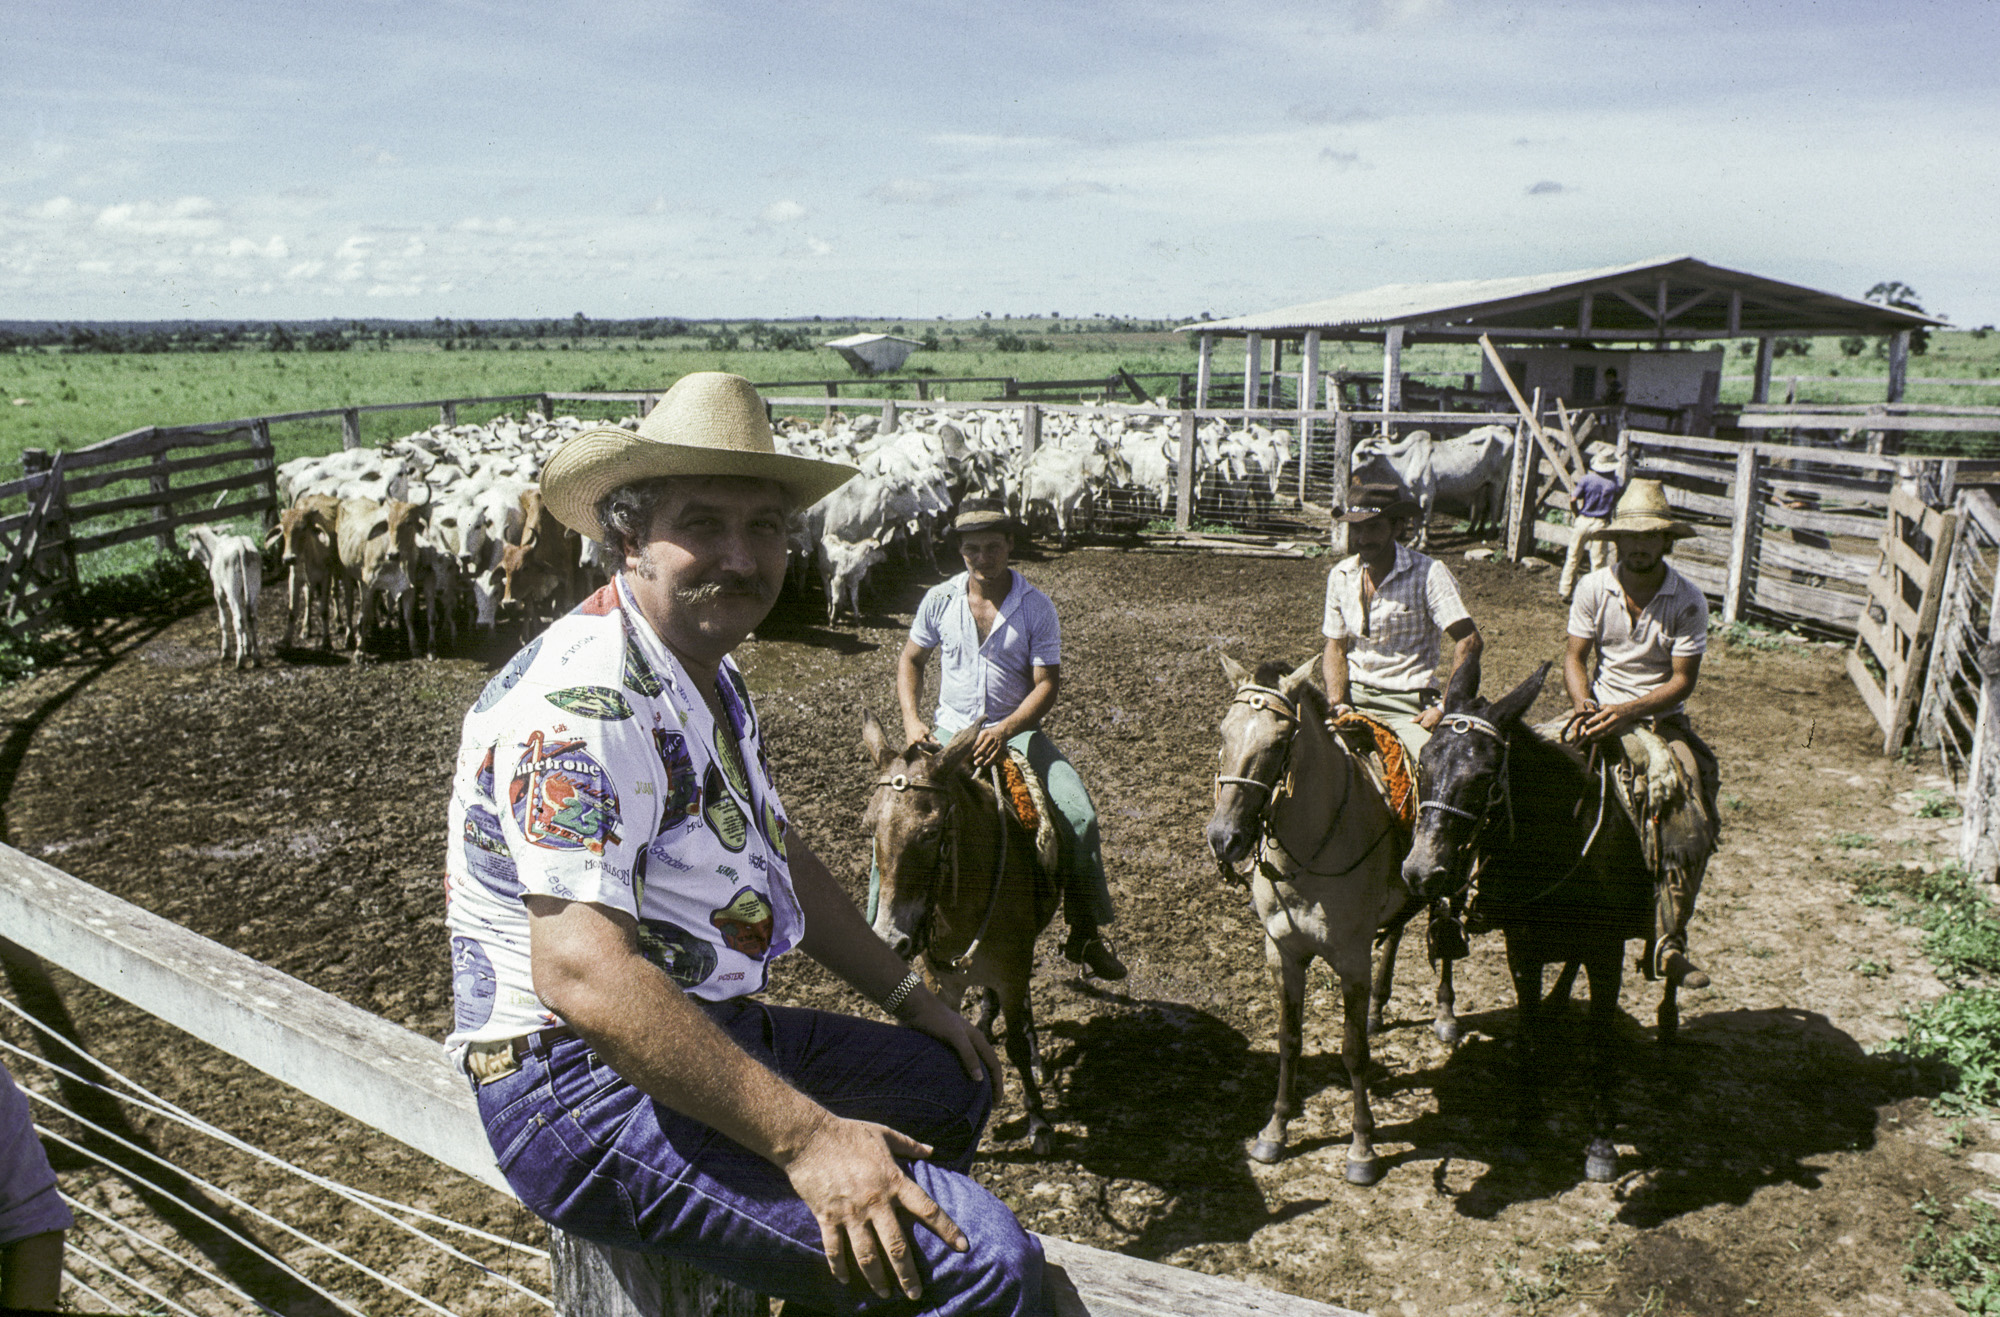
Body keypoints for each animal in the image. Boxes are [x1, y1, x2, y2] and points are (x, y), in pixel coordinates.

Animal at [188, 520, 264, 668]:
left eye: (191, 539)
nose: (189, 554)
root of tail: (241, 546)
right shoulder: (242, 592)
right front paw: (247, 647)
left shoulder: (218, 590)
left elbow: (222, 620)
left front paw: (225, 651)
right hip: (253, 587)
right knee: (250, 616)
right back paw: (256, 657)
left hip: (231, 591)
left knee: (238, 619)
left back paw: (239, 659)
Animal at [860, 708, 1064, 1152]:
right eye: (870, 827)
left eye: (930, 832)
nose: (891, 940)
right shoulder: (944, 982)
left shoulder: (1012, 972)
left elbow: (1016, 1044)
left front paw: (1038, 1121)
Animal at [1200, 656, 1424, 1176]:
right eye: (1223, 732)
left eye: (1280, 742)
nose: (1224, 838)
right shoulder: (1282, 953)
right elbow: (1289, 1040)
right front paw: (1274, 1132)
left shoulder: (1352, 960)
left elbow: (1354, 1052)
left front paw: (1362, 1147)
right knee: (1398, 932)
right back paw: (1380, 1009)